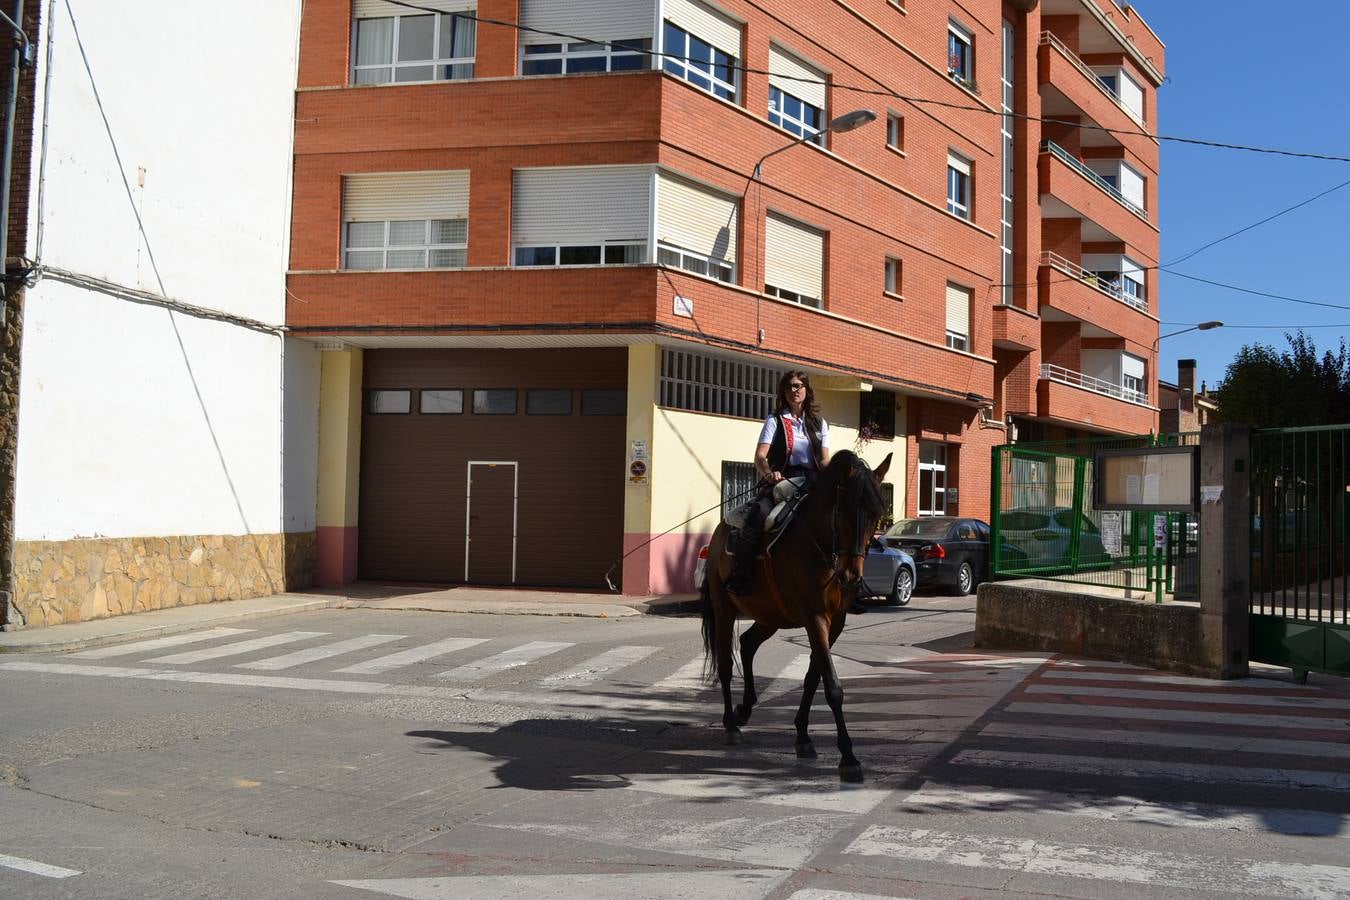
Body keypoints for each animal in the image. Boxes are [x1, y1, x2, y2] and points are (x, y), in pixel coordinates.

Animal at [702, 450, 891, 782]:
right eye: (843, 512)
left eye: (875, 516)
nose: (851, 578)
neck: (821, 545)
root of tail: (720, 531)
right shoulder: (815, 617)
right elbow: (832, 685)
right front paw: (848, 757)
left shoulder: (835, 622)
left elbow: (813, 677)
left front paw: (803, 736)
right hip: (724, 609)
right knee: (725, 664)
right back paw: (731, 724)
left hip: (770, 615)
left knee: (748, 643)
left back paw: (744, 708)